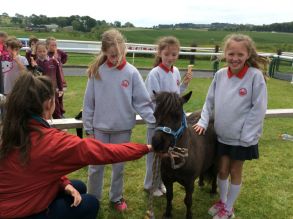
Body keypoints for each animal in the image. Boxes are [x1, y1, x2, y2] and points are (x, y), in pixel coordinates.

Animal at [152, 91, 216, 219]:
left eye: (177, 115)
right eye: (155, 114)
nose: (157, 143)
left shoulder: (189, 183)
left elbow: (188, 201)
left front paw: (189, 216)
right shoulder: (167, 179)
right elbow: (169, 196)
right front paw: (168, 213)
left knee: (216, 175)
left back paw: (213, 191)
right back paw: (201, 183)